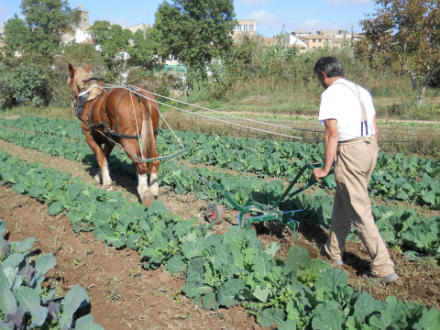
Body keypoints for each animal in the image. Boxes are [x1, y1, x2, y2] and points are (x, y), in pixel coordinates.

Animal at [67, 62, 160, 205]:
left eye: (70, 81)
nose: (73, 103)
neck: (90, 99)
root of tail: (138, 95)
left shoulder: (89, 136)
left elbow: (100, 158)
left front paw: (107, 184)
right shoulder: (110, 140)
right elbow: (105, 156)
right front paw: (99, 176)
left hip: (127, 140)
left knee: (140, 163)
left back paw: (145, 193)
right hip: (152, 136)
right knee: (155, 160)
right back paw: (154, 190)